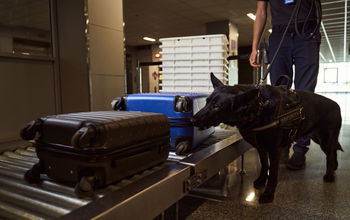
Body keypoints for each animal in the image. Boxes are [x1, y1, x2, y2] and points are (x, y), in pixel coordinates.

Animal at [191, 73, 342, 204]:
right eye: (206, 101)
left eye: (217, 107)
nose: (192, 120)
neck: (260, 106)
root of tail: (337, 105)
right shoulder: (261, 148)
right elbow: (264, 165)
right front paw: (261, 180)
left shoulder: (274, 150)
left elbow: (273, 174)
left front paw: (268, 194)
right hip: (319, 139)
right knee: (333, 153)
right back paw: (334, 168)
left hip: (326, 140)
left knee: (330, 155)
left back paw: (329, 175)